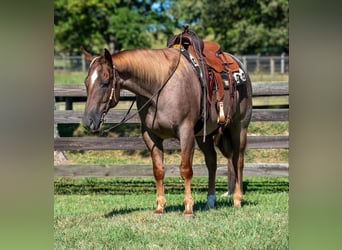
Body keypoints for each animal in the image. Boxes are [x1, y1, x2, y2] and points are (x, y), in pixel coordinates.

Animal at [83, 31, 252, 216]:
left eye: (105, 83)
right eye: (86, 82)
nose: (88, 121)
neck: (160, 86)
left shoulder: (185, 132)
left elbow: (185, 169)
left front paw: (188, 208)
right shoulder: (151, 135)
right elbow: (158, 170)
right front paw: (159, 207)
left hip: (239, 128)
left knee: (238, 161)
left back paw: (237, 199)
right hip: (204, 134)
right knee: (211, 162)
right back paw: (210, 201)